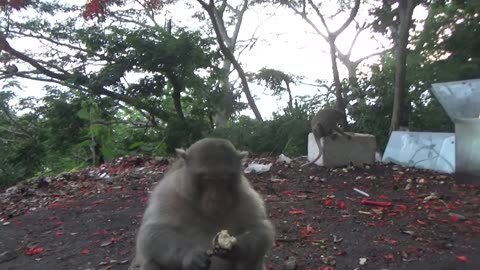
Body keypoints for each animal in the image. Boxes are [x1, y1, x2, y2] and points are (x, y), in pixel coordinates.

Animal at [129, 138, 276, 268]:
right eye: (208, 179)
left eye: (224, 178)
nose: (216, 197)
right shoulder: (168, 193)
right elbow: (152, 233)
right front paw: (190, 256)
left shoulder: (246, 194)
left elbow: (260, 229)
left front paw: (235, 249)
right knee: (152, 262)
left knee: (253, 259)